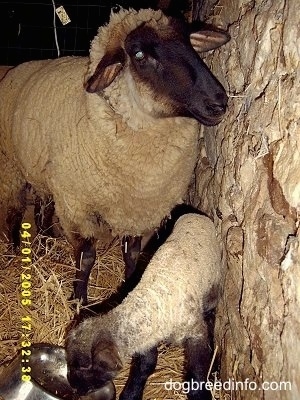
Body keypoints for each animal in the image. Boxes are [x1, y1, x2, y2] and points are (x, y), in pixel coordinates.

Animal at [0, 7, 230, 302]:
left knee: (43, 207)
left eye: (190, 43)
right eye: (139, 55)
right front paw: (79, 301)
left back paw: (45, 242)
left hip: (45, 174)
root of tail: (19, 67)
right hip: (12, 166)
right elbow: (86, 257)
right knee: (15, 211)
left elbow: (132, 254)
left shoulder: (140, 209)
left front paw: (128, 286)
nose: (218, 103)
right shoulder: (78, 206)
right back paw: (15, 251)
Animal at [67, 212, 221, 400]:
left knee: (210, 316)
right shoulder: (147, 338)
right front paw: (131, 394)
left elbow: (197, 374)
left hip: (212, 289)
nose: (75, 388)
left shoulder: (195, 333)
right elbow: (145, 365)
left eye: (85, 367)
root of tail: (196, 214)